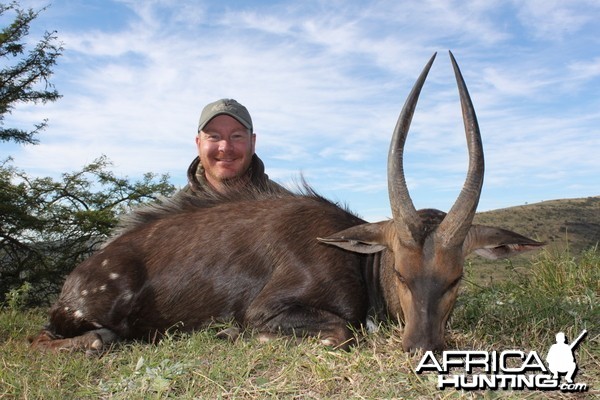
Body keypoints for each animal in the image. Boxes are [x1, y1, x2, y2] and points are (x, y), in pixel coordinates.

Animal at [29, 50, 544, 354]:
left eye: (456, 279)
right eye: (401, 273)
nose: (421, 349)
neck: (358, 263)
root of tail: (76, 278)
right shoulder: (268, 312)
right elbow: (339, 331)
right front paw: (229, 333)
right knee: (63, 338)